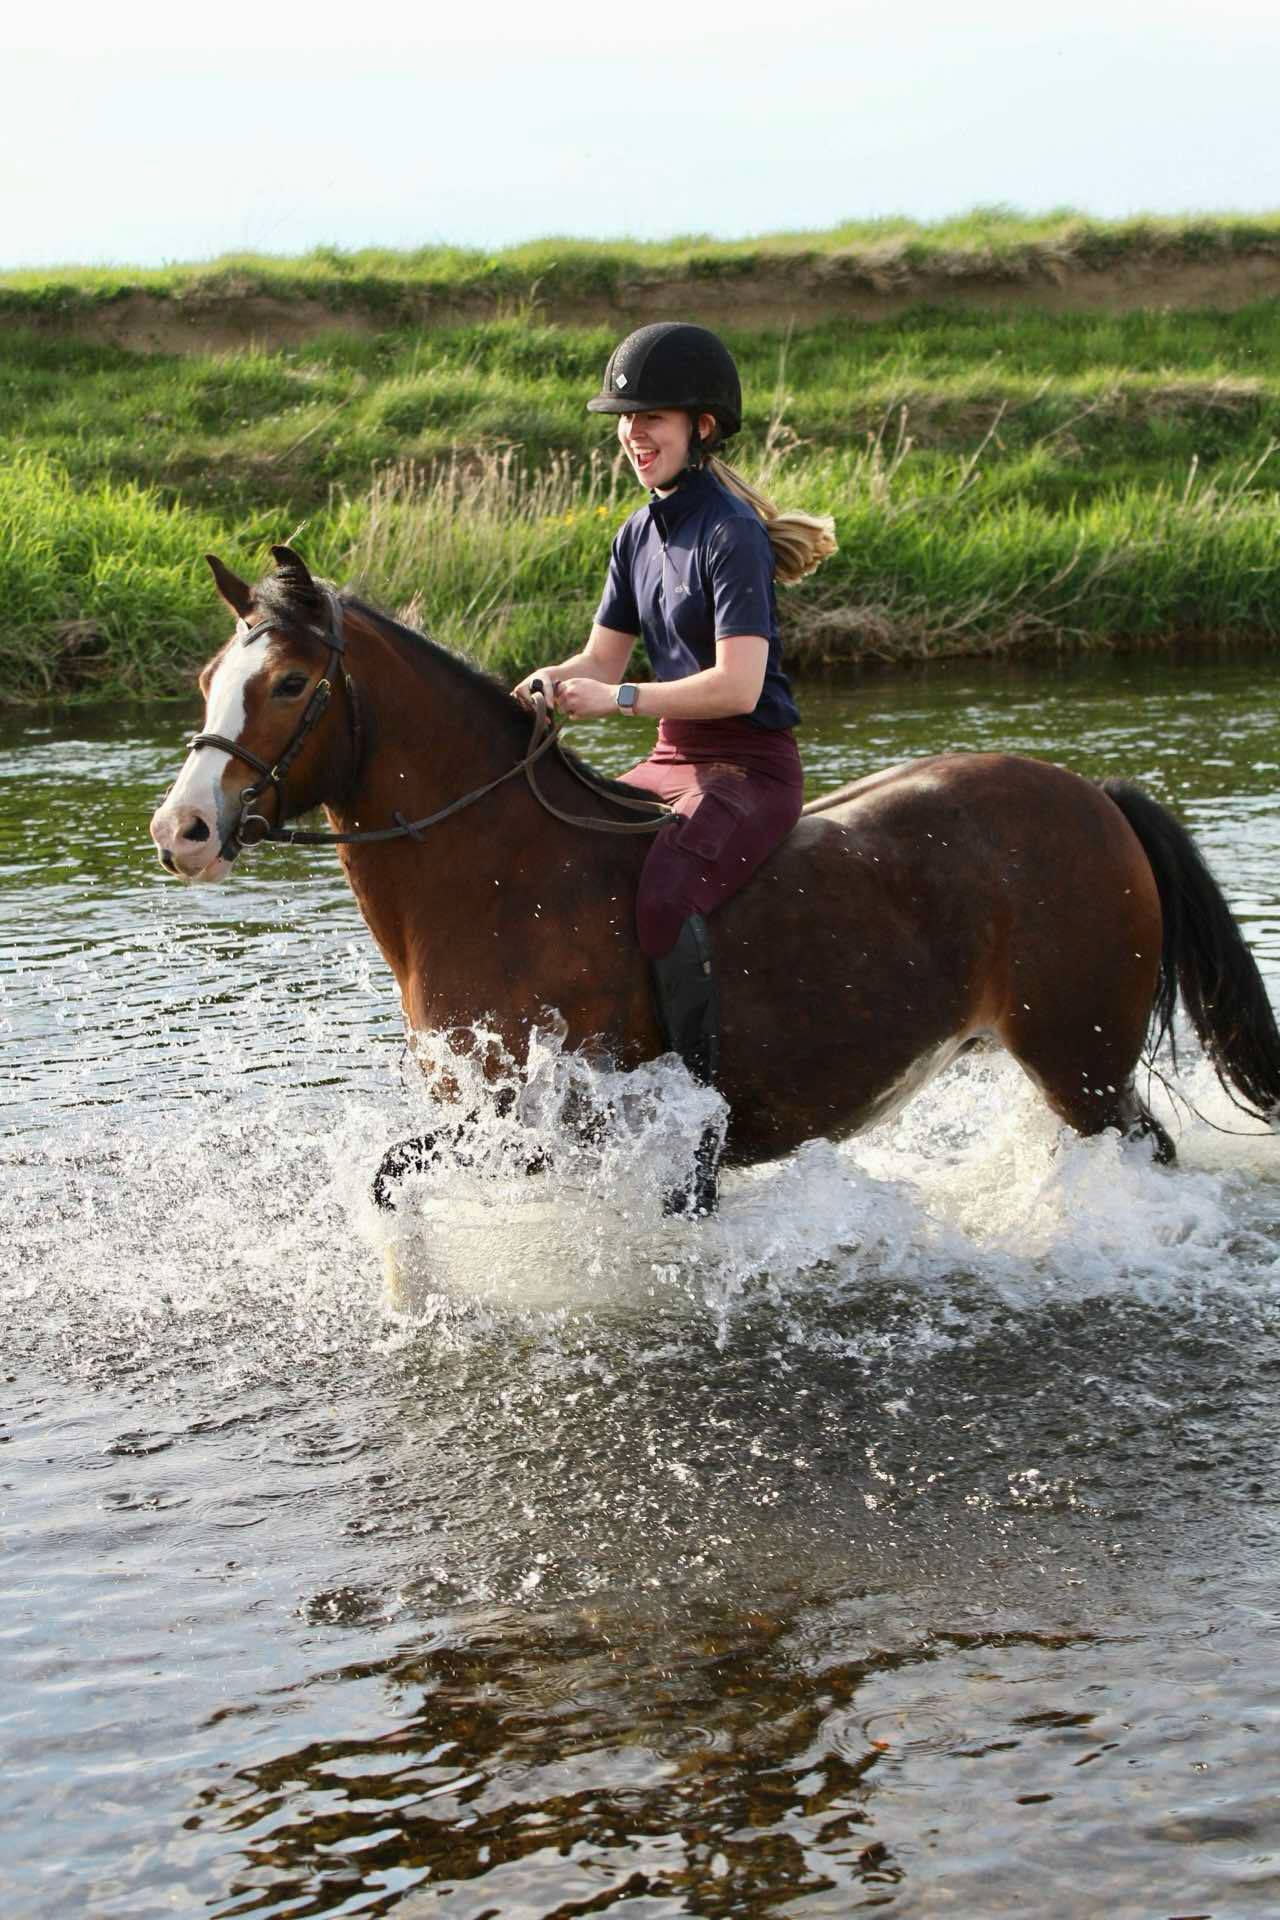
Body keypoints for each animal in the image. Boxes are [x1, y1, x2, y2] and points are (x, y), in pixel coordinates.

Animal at [149, 546, 1280, 1209]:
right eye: (209, 678)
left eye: (290, 682)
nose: (182, 829)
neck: (497, 878)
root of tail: (1094, 795)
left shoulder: (561, 1127)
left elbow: (388, 1181)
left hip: (1079, 1062)